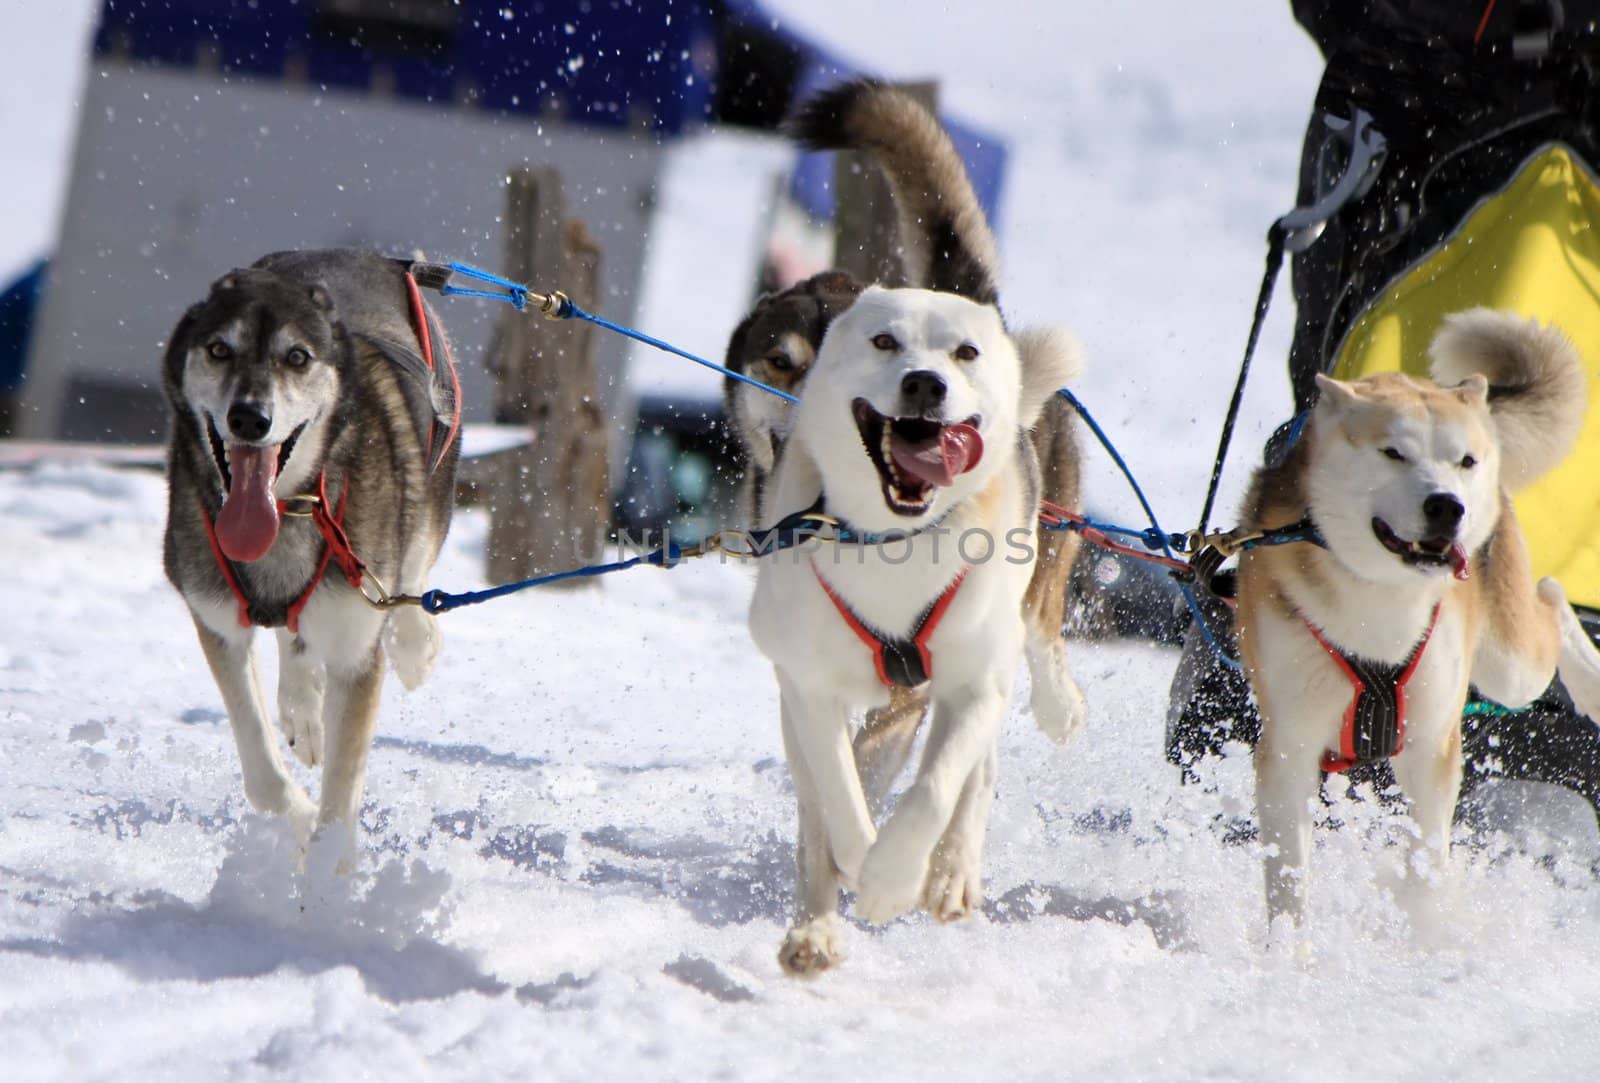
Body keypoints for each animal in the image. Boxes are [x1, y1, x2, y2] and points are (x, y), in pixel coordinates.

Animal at [163, 249, 460, 857]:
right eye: (219, 349)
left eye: (297, 357)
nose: (249, 417)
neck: (288, 509)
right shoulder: (219, 624)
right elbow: (263, 777)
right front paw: (299, 828)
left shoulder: (355, 650)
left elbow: (341, 797)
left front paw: (326, 873)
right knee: (293, 634)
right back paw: (302, 705)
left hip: (430, 486)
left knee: (413, 568)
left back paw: (413, 643)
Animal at [752, 77, 1088, 972]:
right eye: (883, 340)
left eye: (963, 354)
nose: (925, 384)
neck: (890, 540)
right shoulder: (809, 687)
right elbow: (837, 794)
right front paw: (856, 866)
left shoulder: (969, 678)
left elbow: (938, 786)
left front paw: (895, 876)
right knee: (817, 810)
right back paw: (814, 924)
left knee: (983, 759)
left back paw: (951, 870)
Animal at [1241, 305, 1600, 940]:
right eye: (1394, 453)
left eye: (1464, 461)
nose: (1447, 506)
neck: (1380, 599)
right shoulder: (1289, 746)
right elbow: (1289, 879)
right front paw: (1288, 954)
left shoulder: (1431, 740)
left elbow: (1428, 861)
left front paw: (1428, 933)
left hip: (1510, 663)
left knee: (1552, 600)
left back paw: (1592, 681)